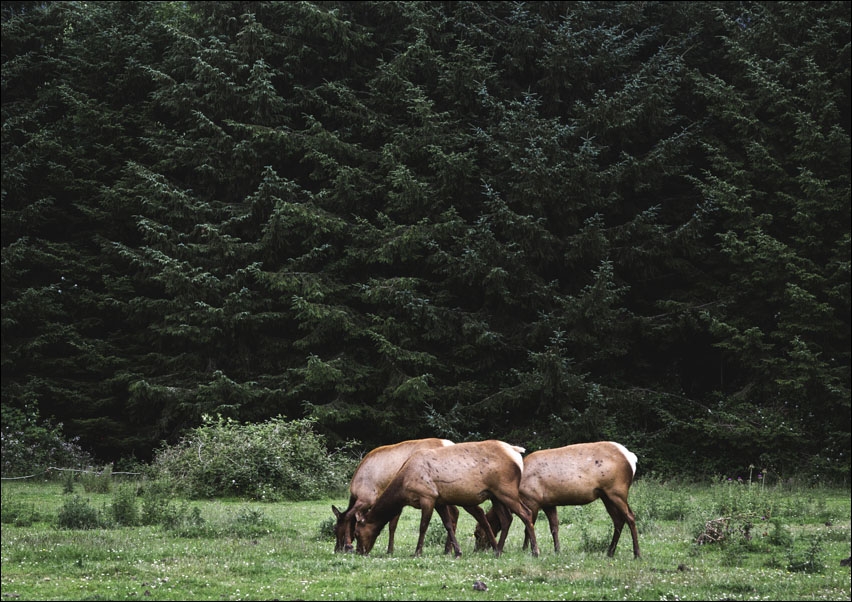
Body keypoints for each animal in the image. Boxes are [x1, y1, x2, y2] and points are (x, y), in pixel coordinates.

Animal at [332, 436, 460, 552]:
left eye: (335, 529)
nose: (337, 549)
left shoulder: (366, 498)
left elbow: (348, 517)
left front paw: (349, 546)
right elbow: (392, 525)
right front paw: (390, 550)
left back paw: (449, 549)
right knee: (455, 513)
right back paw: (448, 550)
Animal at [352, 436, 540, 556]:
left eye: (357, 533)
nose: (359, 552)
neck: (404, 486)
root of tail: (516, 452)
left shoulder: (427, 496)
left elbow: (423, 526)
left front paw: (417, 552)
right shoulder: (439, 501)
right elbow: (448, 525)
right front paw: (457, 551)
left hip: (506, 490)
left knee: (526, 513)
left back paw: (535, 551)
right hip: (495, 495)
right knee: (507, 518)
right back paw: (498, 550)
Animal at [472, 438, 640, 556]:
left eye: (477, 533)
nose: (477, 550)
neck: (518, 487)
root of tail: (632, 458)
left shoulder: (532, 500)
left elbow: (527, 526)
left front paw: (526, 549)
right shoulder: (548, 503)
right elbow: (554, 527)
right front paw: (557, 550)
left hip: (617, 490)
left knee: (630, 516)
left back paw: (637, 553)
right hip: (606, 495)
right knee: (618, 520)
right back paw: (610, 552)